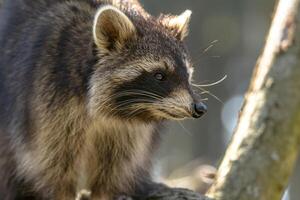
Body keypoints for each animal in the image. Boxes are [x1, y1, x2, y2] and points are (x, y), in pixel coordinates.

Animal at [0, 0, 207, 199]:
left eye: (188, 75)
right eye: (159, 76)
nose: (200, 108)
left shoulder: (127, 132)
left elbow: (111, 175)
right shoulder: (48, 99)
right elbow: (56, 171)